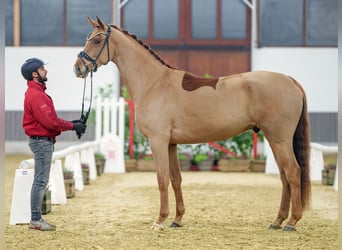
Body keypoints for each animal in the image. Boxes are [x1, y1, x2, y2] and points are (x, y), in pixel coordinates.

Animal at [74, 17, 310, 232]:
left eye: (97, 40)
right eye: (87, 38)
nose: (78, 68)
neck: (154, 83)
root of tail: (291, 81)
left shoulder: (158, 141)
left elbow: (162, 179)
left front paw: (159, 221)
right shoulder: (171, 144)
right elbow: (176, 178)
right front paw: (176, 219)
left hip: (279, 139)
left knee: (292, 173)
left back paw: (291, 222)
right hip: (274, 139)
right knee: (284, 176)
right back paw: (277, 221)